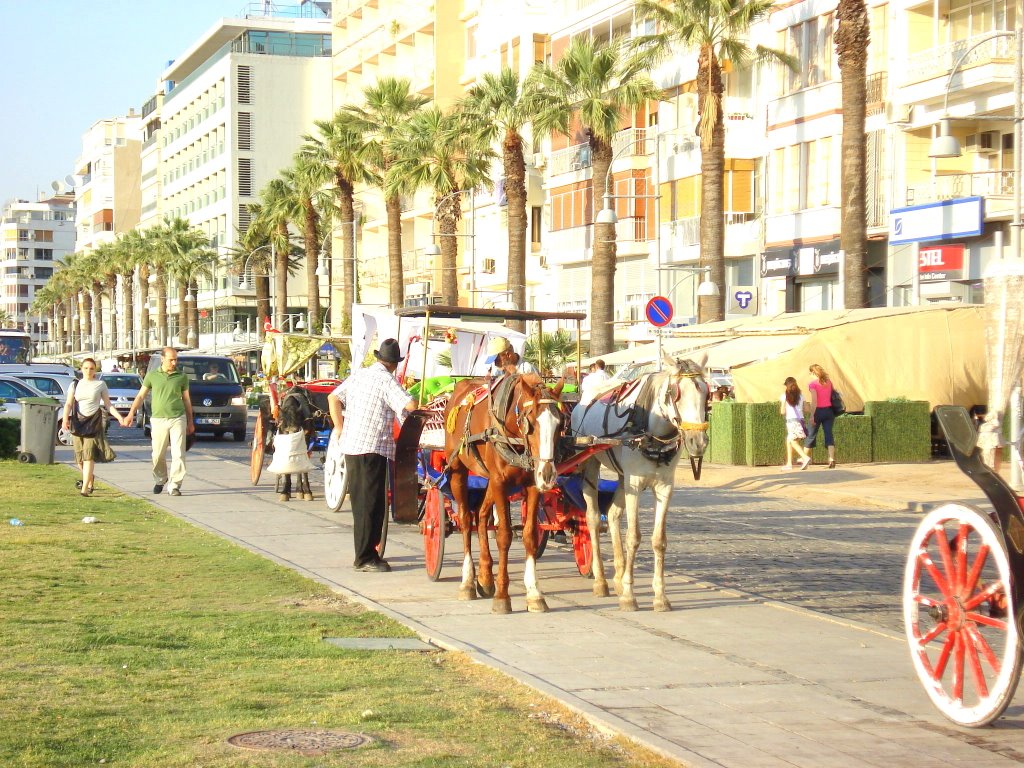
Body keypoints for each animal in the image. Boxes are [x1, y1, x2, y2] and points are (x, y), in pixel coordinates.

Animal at [442, 376, 565, 618]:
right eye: (531, 422)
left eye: (560, 423)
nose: (548, 474)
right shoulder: (500, 482)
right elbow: (504, 536)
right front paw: (502, 597)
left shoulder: (531, 484)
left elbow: (529, 535)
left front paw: (534, 594)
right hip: (458, 471)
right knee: (466, 520)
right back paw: (468, 582)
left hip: (490, 479)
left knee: (481, 515)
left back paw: (485, 577)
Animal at [569, 354, 712, 614]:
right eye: (674, 393)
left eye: (706, 392)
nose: (698, 441)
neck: (651, 433)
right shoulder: (635, 484)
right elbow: (633, 537)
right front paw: (629, 596)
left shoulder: (665, 487)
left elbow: (659, 541)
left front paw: (660, 597)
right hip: (590, 464)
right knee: (593, 519)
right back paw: (601, 581)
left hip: (622, 477)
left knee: (613, 514)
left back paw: (617, 577)